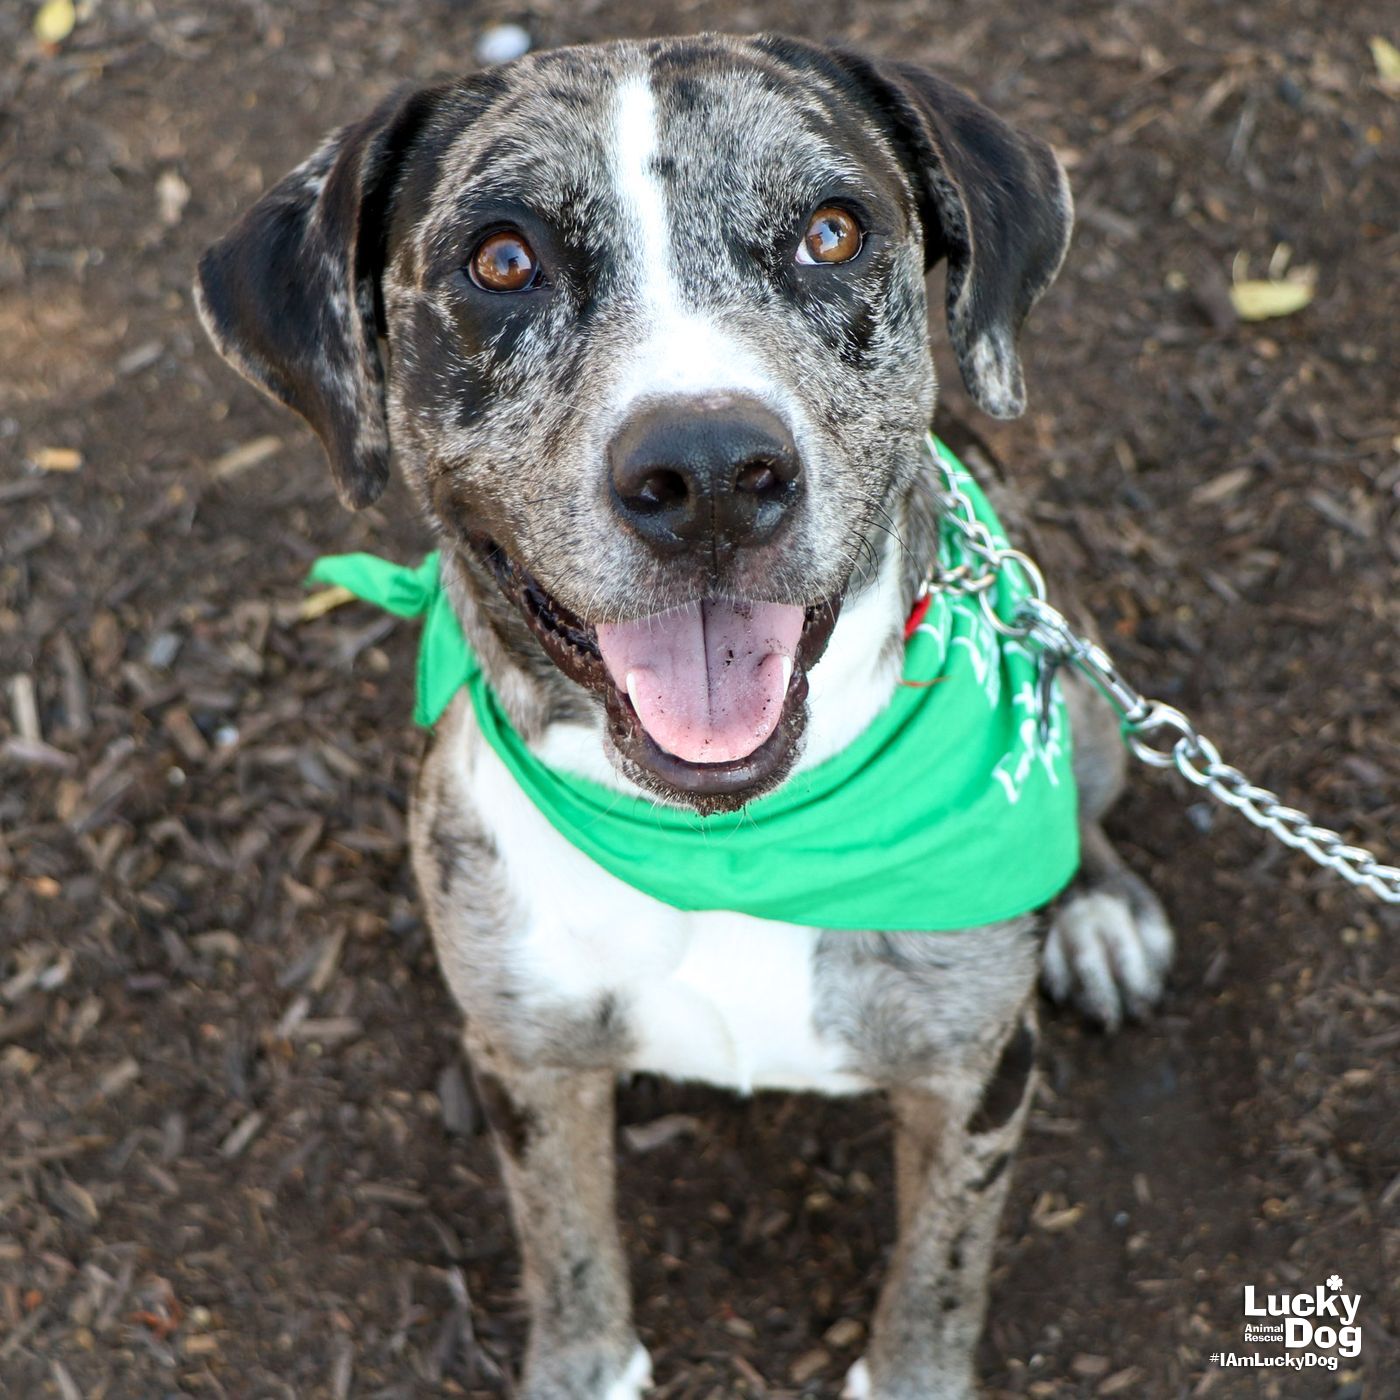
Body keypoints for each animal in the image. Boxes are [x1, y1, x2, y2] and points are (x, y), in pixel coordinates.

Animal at [197, 32, 1176, 1400]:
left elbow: (939, 1274)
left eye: (831, 231)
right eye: (501, 258)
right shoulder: (526, 1059)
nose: (710, 471)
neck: (731, 836)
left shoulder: (975, 1081)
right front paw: (581, 1363)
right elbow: (566, 1251)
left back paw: (1097, 908)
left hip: (1073, 684)